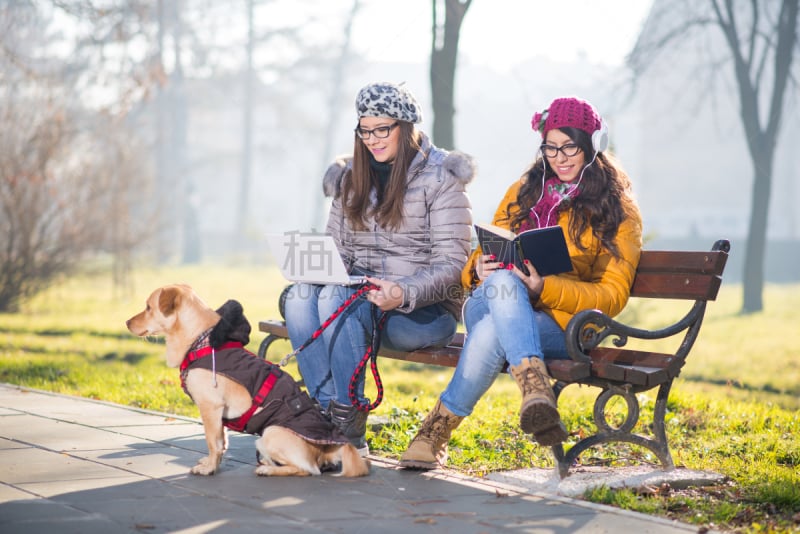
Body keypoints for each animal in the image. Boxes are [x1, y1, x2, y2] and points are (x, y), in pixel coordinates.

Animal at [126, 286, 368, 480]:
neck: (202, 341)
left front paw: (209, 468)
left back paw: (268, 470)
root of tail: (328, 449)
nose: (126, 322)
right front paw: (211, 463)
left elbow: (212, 442)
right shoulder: (219, 416)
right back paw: (265, 464)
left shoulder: (210, 408)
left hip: (270, 434)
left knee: (307, 470)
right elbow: (222, 442)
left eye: (148, 307)